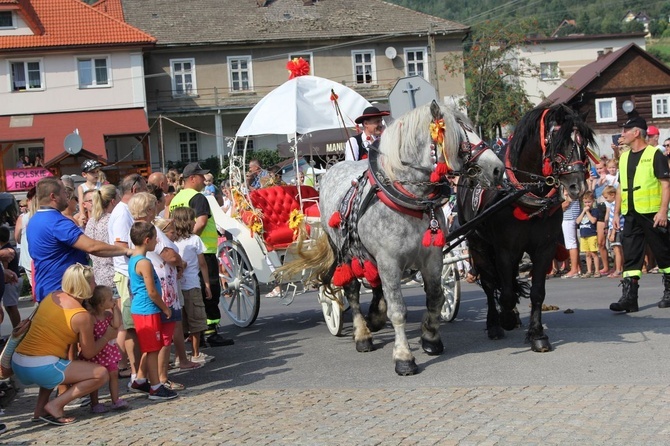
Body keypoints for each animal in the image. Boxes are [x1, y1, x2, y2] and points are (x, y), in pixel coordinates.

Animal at [460, 102, 596, 352]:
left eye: (582, 143)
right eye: (558, 141)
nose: (578, 187)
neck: (524, 194)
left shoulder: (544, 249)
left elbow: (537, 293)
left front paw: (537, 334)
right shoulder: (505, 250)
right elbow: (505, 292)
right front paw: (506, 317)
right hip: (478, 244)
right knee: (489, 284)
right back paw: (495, 324)